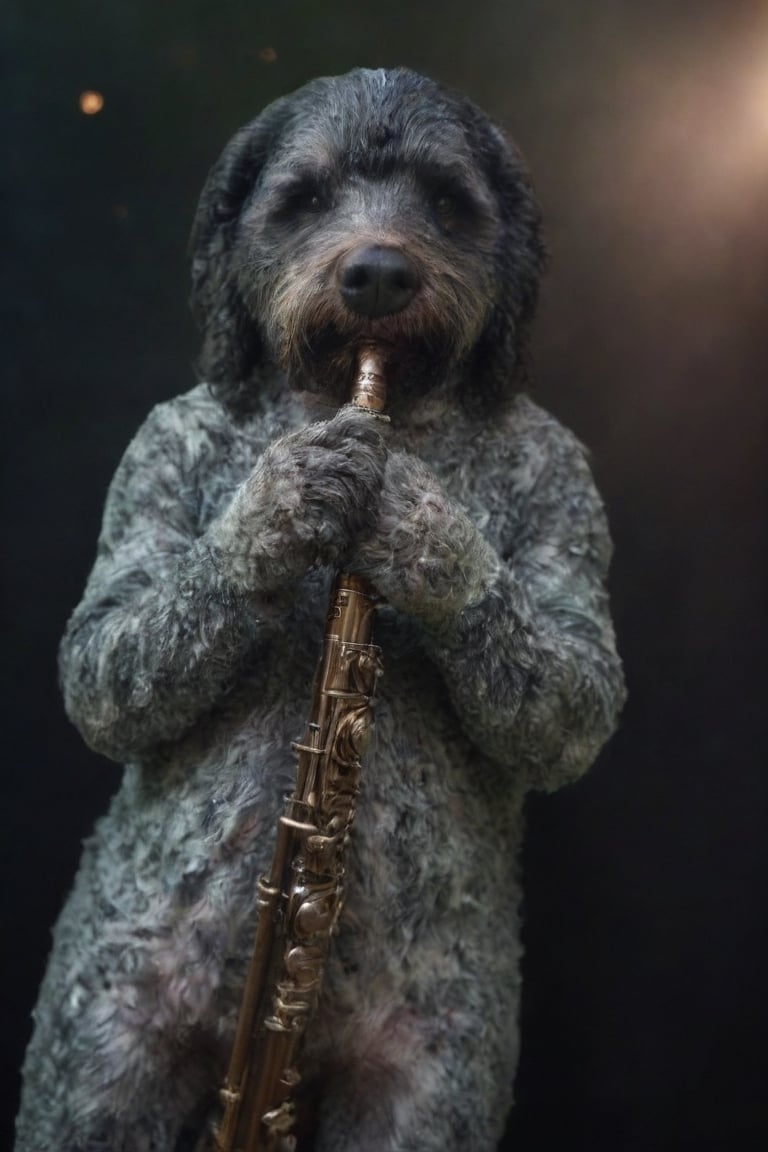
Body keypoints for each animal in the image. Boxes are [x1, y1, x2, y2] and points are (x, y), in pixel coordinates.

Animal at [16, 67, 626, 1147]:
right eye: (303, 199)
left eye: (445, 202)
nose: (378, 275)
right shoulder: (149, 462)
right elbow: (100, 663)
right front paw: (292, 497)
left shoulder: (567, 491)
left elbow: (576, 694)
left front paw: (409, 519)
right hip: (98, 1053)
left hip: (433, 1082)